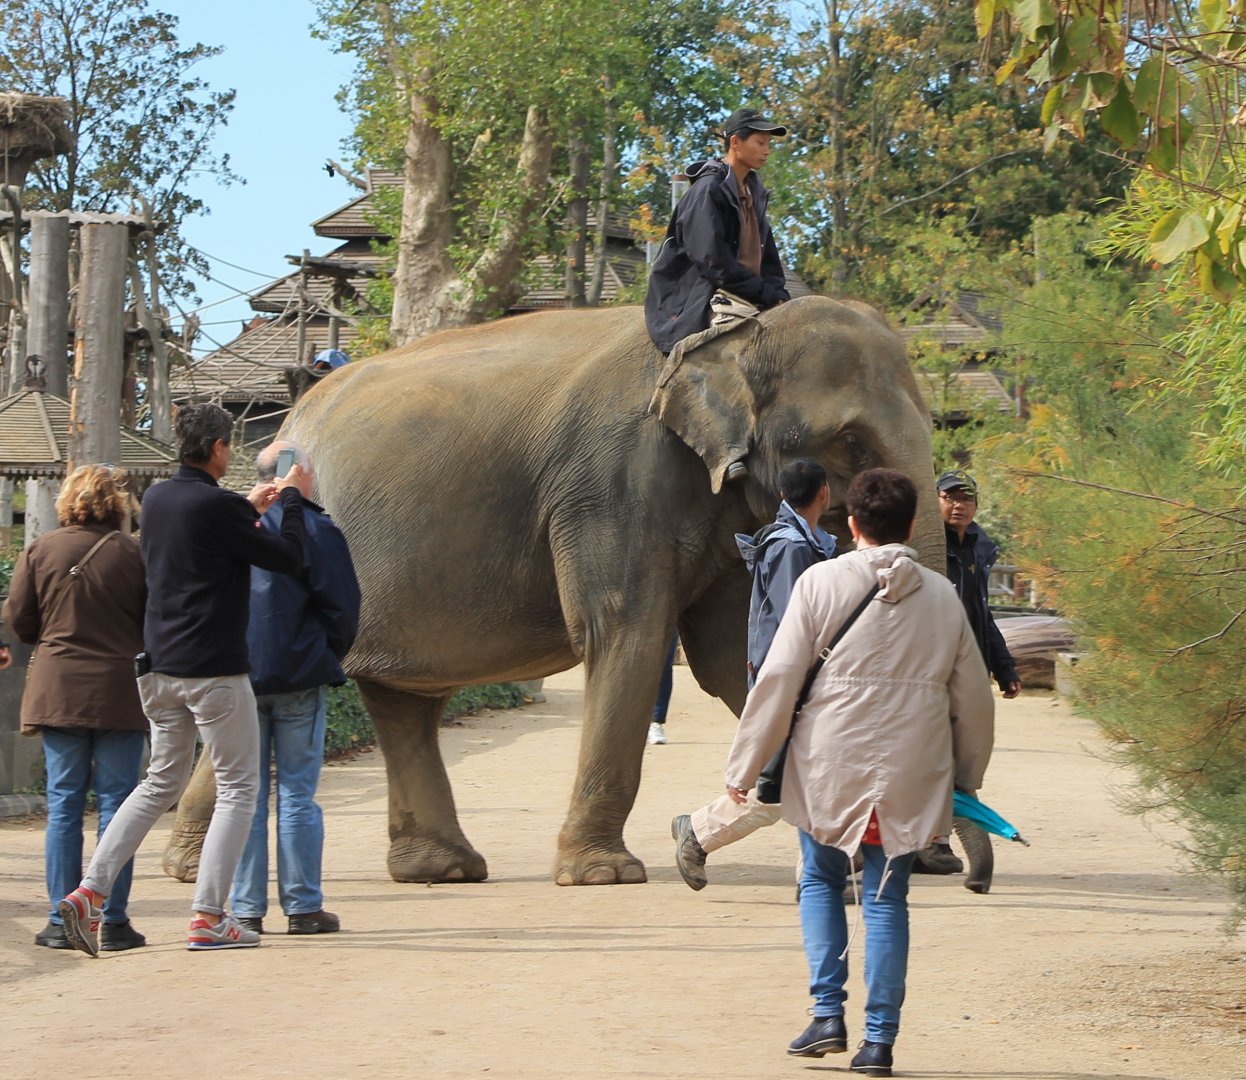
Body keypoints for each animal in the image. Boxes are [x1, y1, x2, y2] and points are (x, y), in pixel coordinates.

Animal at [163, 296, 966, 888]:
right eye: (853, 443)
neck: (735, 333)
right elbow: (626, 635)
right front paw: (605, 876)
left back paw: (441, 871)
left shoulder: (728, 508)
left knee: (404, 703)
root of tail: (288, 422)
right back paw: (191, 869)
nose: (948, 863)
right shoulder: (612, 483)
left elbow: (739, 655)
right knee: (265, 685)